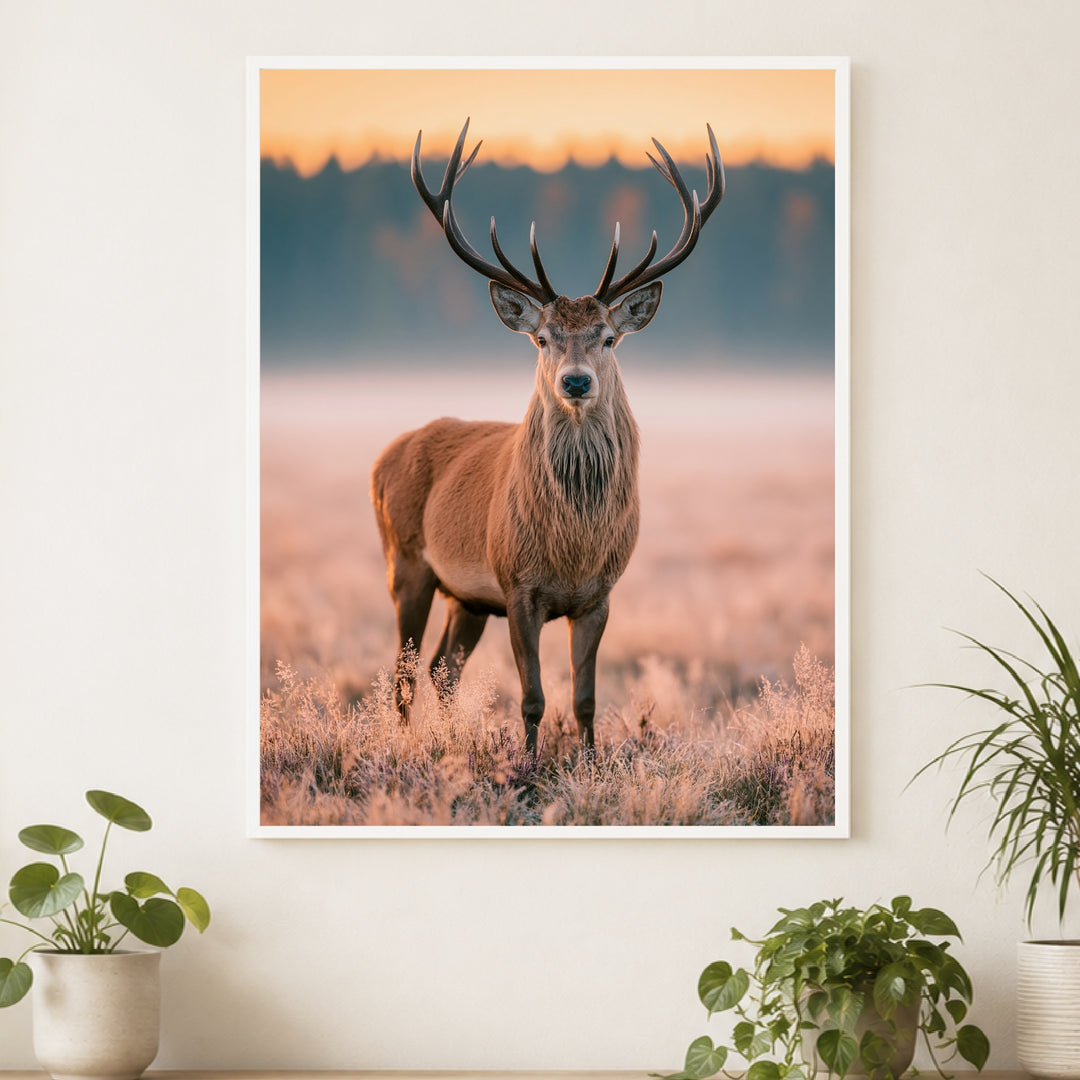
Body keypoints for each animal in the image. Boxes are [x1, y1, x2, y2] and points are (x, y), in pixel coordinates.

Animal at [371, 118, 723, 754]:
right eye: (542, 338)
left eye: (608, 336)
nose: (576, 380)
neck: (572, 547)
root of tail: (383, 458)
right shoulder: (517, 585)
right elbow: (532, 698)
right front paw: (530, 765)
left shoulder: (600, 595)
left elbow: (584, 699)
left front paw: (588, 761)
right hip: (404, 560)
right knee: (404, 672)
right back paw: (404, 744)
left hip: (467, 598)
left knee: (441, 669)